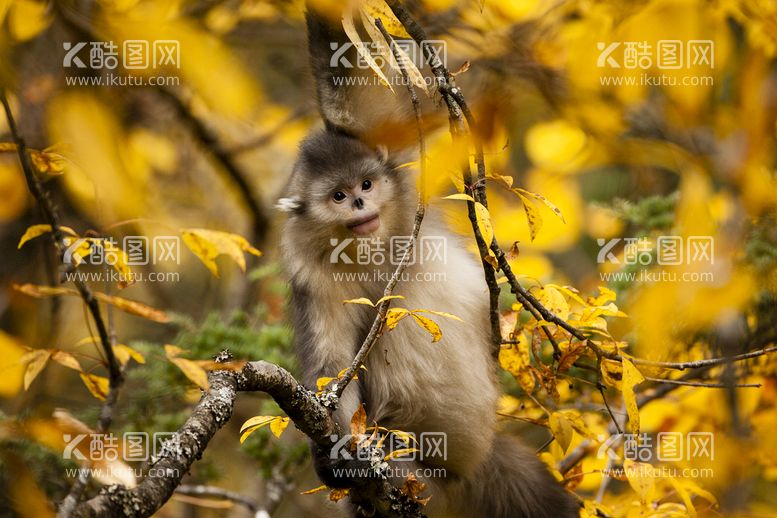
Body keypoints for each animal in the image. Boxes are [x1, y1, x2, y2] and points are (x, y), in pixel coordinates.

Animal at [276, 4, 580, 518]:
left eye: (366, 184)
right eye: (338, 196)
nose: (360, 204)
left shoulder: (399, 163)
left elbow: (357, 94)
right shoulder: (315, 280)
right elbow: (334, 363)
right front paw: (333, 457)